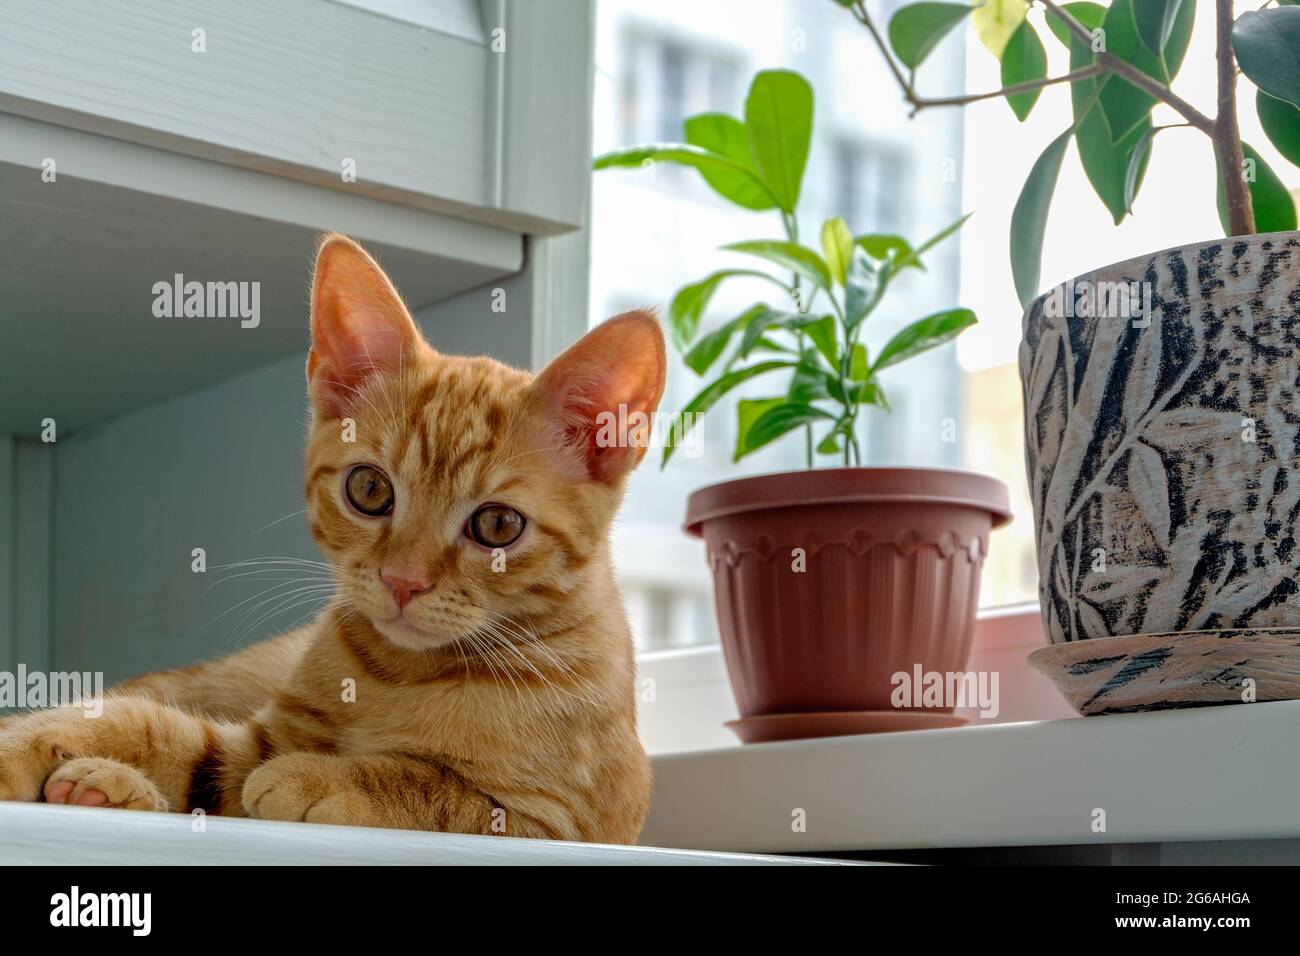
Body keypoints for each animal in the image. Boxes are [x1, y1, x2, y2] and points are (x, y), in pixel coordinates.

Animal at [0, 234, 665, 842]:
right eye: (369, 489)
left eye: (497, 525)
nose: (403, 581)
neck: (402, 674)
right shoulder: (260, 740)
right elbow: (161, 732)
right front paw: (34, 744)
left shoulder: (554, 822)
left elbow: (434, 787)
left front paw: (318, 776)